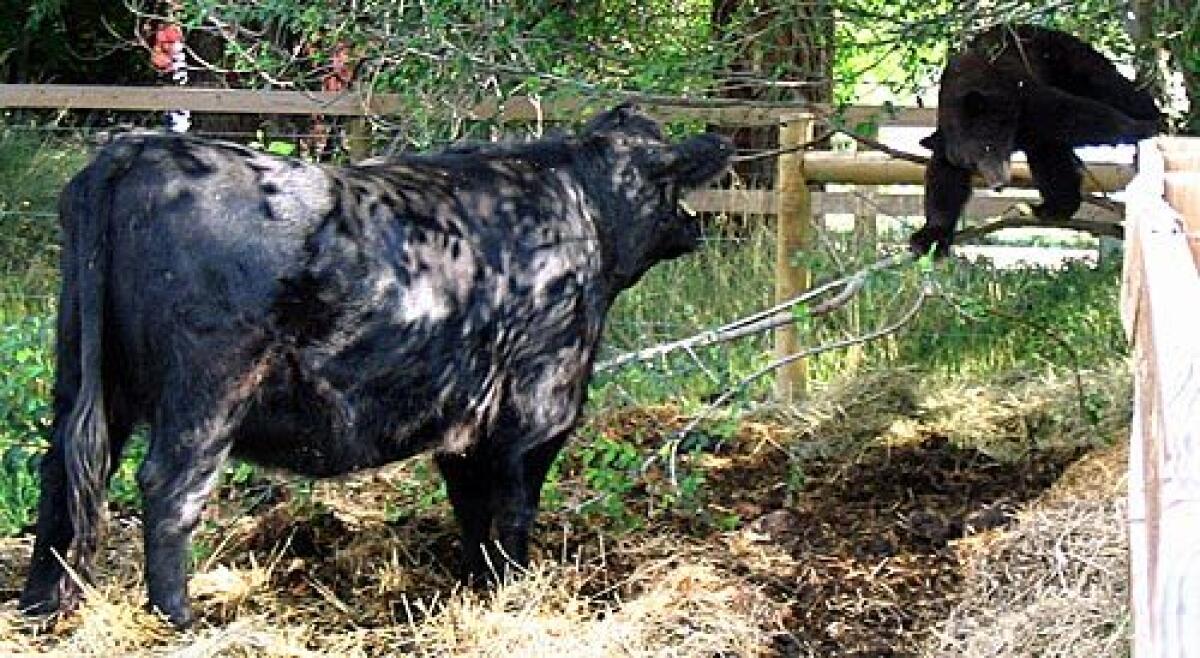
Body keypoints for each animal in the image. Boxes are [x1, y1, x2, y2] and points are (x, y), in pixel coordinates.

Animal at [18, 103, 729, 629]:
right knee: (169, 488)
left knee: (61, 474)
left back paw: (39, 609)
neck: (582, 207)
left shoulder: (465, 425)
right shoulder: (536, 413)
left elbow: (474, 513)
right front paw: (512, 593)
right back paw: (177, 620)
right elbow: (512, 512)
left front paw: (476, 591)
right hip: (208, 387)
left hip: (84, 371)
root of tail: (139, 149)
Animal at [912, 23, 1156, 255]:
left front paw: (1141, 127)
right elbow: (944, 180)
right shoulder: (948, 139)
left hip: (1064, 58)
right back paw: (1054, 207)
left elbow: (1069, 113)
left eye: (987, 147)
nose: (998, 185)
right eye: (971, 164)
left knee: (1110, 87)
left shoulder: (1017, 96)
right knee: (1049, 154)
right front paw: (930, 236)